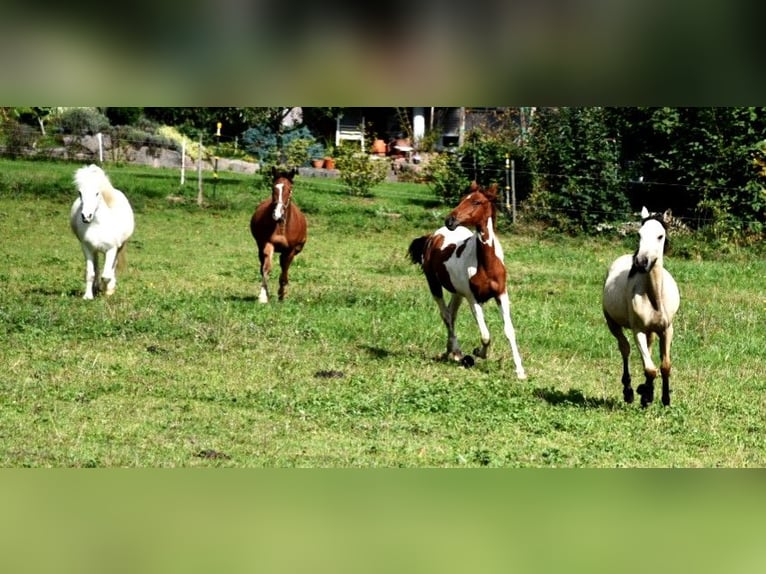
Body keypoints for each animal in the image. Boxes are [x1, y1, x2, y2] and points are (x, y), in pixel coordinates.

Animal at [69, 164, 135, 302]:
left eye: (97, 193)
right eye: (80, 193)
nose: (86, 216)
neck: (98, 225)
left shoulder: (111, 249)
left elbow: (107, 275)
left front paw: (108, 291)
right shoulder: (87, 248)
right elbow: (90, 273)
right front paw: (88, 296)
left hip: (118, 248)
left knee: (112, 268)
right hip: (95, 251)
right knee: (97, 267)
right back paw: (96, 287)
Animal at [408, 182, 528, 380]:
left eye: (477, 202)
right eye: (463, 199)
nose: (450, 220)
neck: (486, 264)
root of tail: (433, 236)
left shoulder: (501, 294)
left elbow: (509, 330)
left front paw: (520, 371)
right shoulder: (473, 298)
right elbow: (485, 334)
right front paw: (479, 352)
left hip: (457, 292)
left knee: (451, 314)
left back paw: (449, 351)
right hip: (434, 285)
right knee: (446, 315)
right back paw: (457, 353)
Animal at [604, 207, 680, 410]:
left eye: (660, 236)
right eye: (639, 234)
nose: (640, 262)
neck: (654, 297)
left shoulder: (667, 329)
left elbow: (664, 366)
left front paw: (664, 399)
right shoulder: (637, 330)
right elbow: (651, 369)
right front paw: (645, 396)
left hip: (651, 331)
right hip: (612, 323)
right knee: (625, 349)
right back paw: (629, 392)